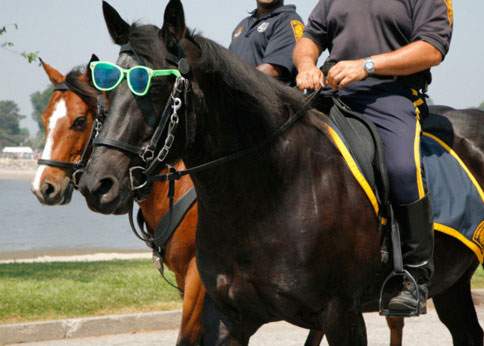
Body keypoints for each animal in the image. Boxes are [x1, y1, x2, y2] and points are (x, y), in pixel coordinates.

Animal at [78, 1, 480, 344]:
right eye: (105, 92)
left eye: (155, 86)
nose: (98, 184)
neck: (269, 194)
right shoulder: (227, 316)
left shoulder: (342, 315)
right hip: (453, 285)